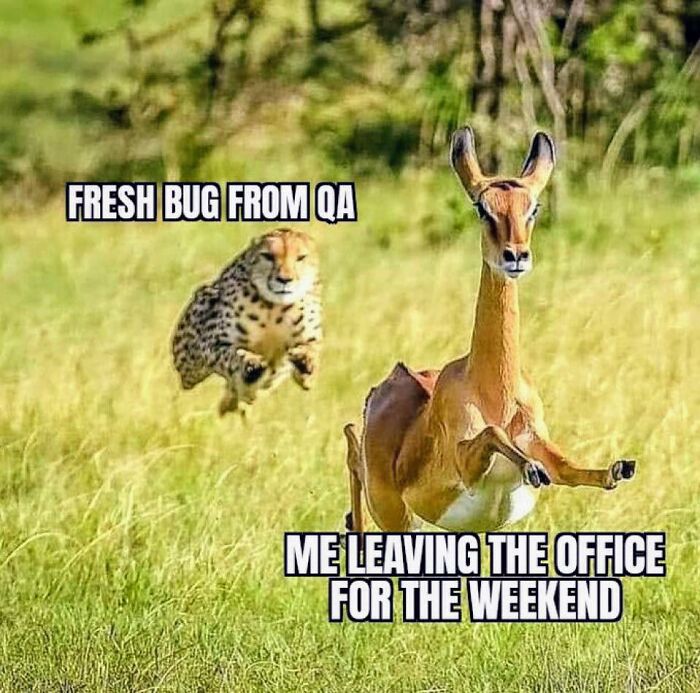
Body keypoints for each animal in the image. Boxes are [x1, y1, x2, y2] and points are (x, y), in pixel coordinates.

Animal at [172, 228, 322, 415]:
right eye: (268, 256)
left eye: (301, 257)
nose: (284, 279)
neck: (273, 306)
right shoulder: (212, 344)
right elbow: (232, 353)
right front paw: (251, 364)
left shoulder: (309, 339)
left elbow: (311, 350)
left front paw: (305, 363)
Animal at [343, 127, 636, 534]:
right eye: (482, 208)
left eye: (533, 207)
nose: (516, 256)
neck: (495, 394)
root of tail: (385, 385)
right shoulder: (466, 466)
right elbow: (492, 435)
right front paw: (531, 468)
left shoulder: (538, 440)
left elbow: (569, 468)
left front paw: (617, 468)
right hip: (394, 516)